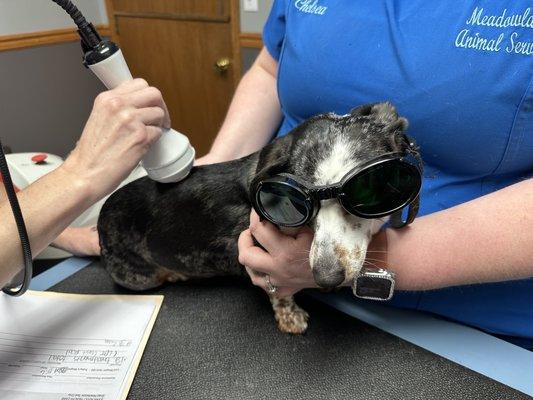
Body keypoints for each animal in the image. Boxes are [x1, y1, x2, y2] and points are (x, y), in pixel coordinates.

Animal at [95, 101, 420, 332]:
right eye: (302, 200)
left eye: (370, 190)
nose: (326, 277)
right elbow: (280, 294)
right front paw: (291, 317)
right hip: (138, 277)